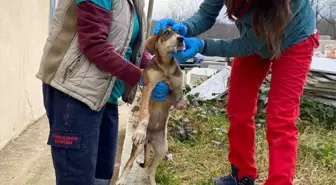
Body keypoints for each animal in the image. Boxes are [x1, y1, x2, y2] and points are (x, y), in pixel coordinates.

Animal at [115, 27, 184, 185]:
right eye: (166, 33)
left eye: (179, 32)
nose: (181, 39)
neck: (166, 67)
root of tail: (150, 139)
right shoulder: (149, 87)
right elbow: (145, 113)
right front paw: (140, 130)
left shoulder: (175, 91)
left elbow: (177, 97)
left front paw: (183, 103)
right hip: (139, 147)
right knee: (129, 163)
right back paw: (121, 180)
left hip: (162, 149)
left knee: (151, 169)